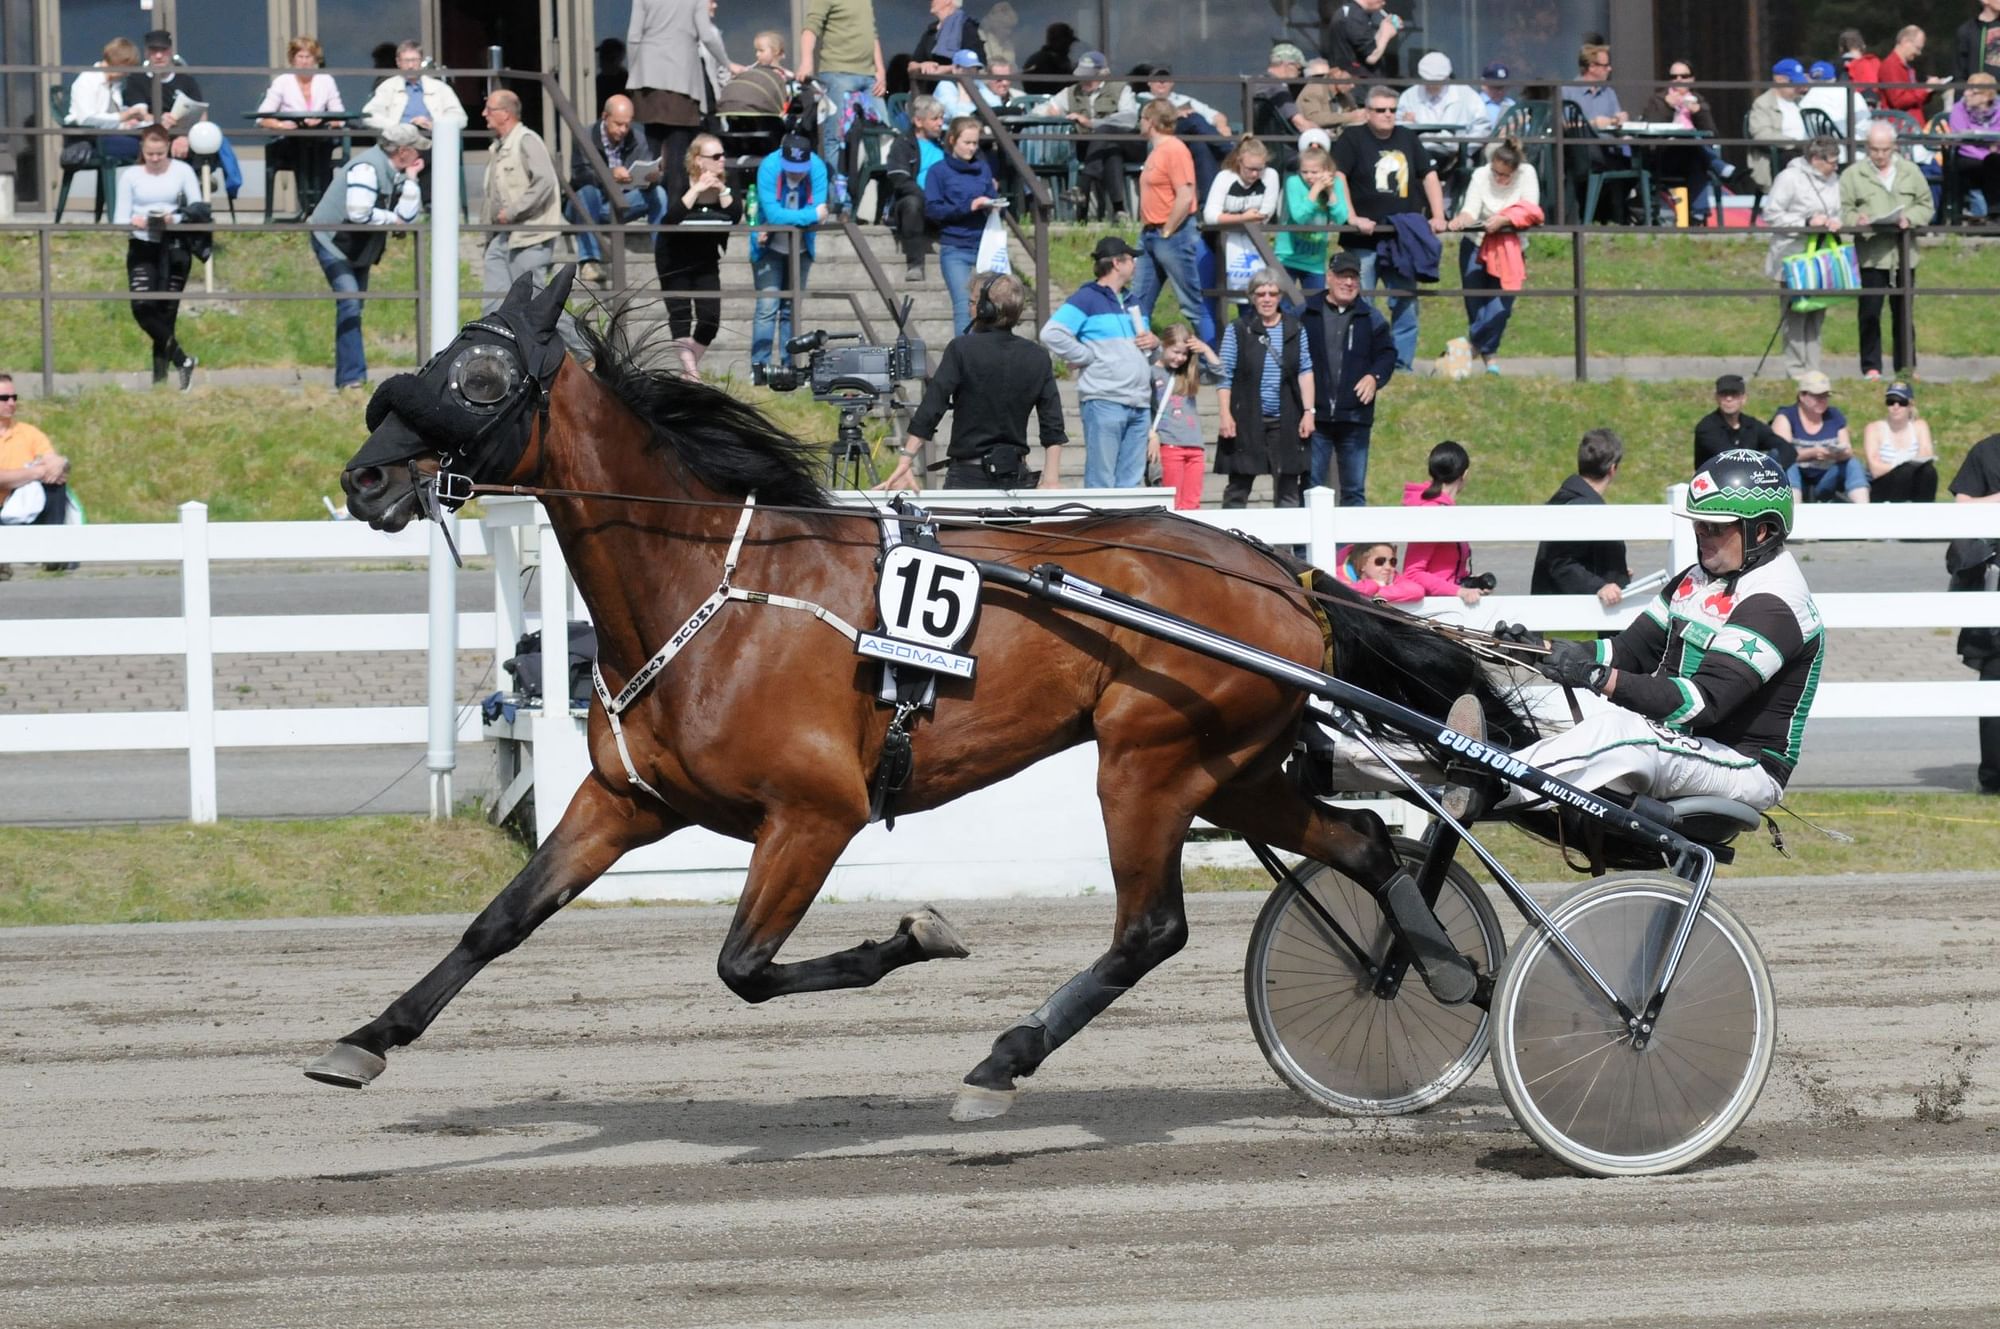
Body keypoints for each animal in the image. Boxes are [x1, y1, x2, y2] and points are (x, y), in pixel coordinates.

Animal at [316, 270, 1528, 1120]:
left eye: (478, 381)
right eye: (433, 358)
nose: (365, 477)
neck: (712, 594)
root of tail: (1280, 571)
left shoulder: (817, 813)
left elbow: (744, 968)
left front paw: (917, 934)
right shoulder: (623, 802)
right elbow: (501, 921)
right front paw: (364, 1038)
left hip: (1147, 764)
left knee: (1152, 928)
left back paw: (1002, 1060)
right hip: (1228, 770)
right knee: (1363, 840)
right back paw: (1433, 964)